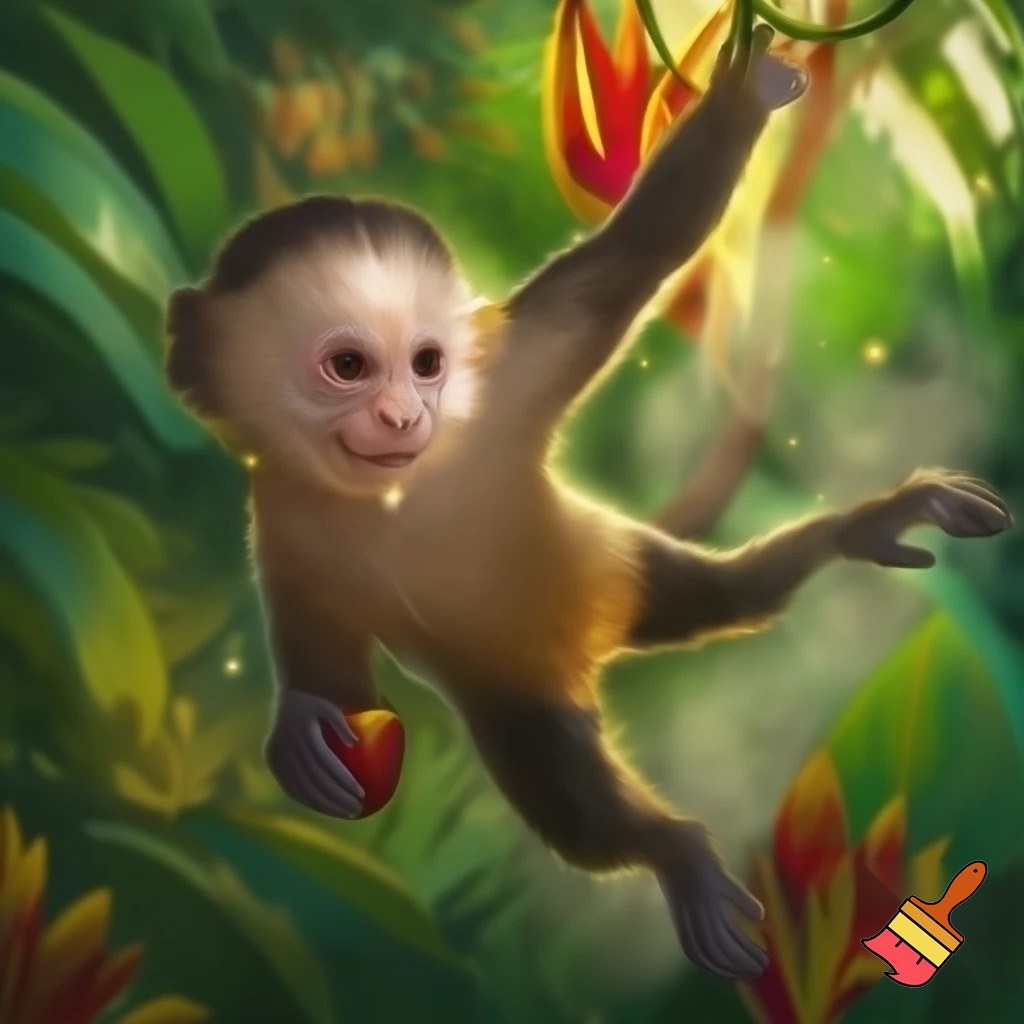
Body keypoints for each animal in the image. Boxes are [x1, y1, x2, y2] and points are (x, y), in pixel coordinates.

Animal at [162, 25, 1013, 981]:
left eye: (426, 363)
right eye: (349, 367)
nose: (404, 416)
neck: (396, 490)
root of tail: (589, 644)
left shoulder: (511, 373)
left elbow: (637, 258)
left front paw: (743, 101)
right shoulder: (280, 504)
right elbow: (331, 665)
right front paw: (302, 726)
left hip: (612, 561)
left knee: (727, 603)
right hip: (523, 689)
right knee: (581, 766)